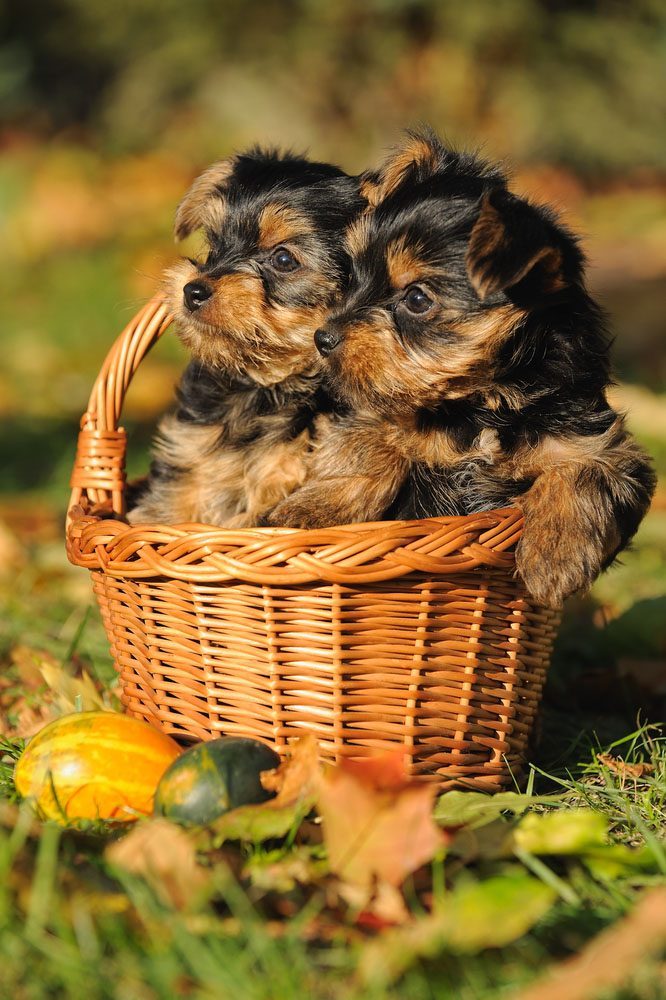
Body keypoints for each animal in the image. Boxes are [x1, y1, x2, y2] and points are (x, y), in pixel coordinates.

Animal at [127, 146, 366, 532]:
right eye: (214, 242)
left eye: (283, 259)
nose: (192, 290)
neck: (264, 385)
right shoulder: (188, 452)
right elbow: (165, 515)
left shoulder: (283, 474)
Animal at [266, 129, 652, 604]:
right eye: (353, 277)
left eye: (417, 299)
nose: (323, 338)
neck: (480, 404)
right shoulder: (372, 413)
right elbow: (370, 440)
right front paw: (313, 509)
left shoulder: (604, 446)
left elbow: (583, 472)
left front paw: (554, 558)